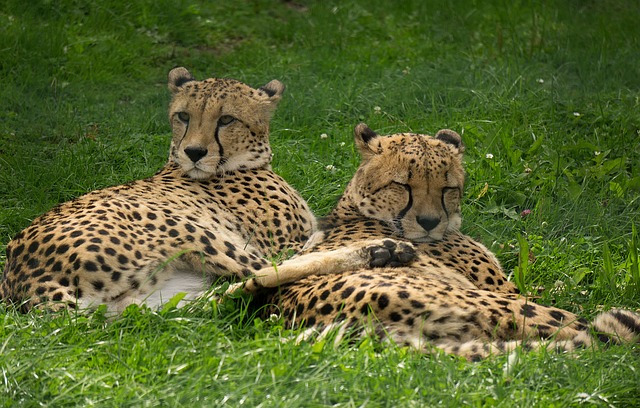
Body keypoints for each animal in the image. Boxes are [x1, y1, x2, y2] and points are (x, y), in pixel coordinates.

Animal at [0, 69, 410, 312]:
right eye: (183, 116)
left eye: (226, 119)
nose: (194, 152)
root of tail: (22, 281)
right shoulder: (277, 242)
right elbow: (303, 243)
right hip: (193, 230)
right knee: (270, 269)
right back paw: (378, 250)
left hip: (158, 299)